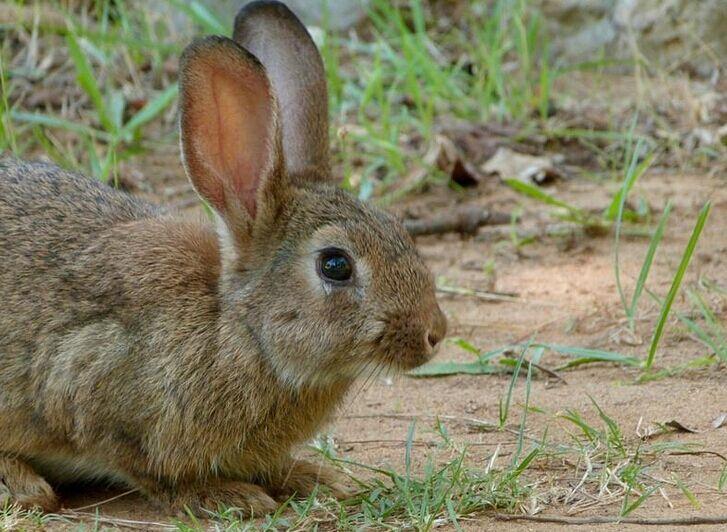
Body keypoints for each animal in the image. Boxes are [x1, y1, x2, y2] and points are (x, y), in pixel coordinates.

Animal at [0, 0, 446, 516]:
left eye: (398, 228)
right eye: (336, 265)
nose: (435, 332)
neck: (241, 329)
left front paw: (315, 478)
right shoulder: (88, 381)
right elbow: (148, 470)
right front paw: (226, 495)